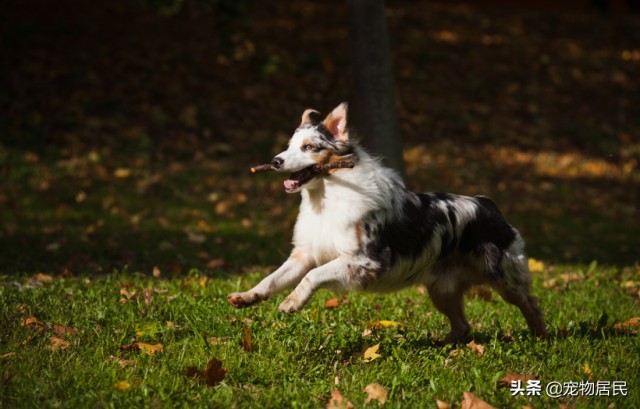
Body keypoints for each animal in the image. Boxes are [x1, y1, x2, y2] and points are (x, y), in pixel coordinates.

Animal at [228, 102, 548, 342]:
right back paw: (442, 345)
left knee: (530, 303)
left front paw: (292, 302)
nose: (276, 161)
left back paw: (540, 337)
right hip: (441, 289)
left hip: (503, 276)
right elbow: (272, 278)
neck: (327, 197)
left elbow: (314, 276)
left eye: (308, 147)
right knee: (462, 326)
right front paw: (248, 296)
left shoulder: (366, 260)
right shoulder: (305, 254)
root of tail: (488, 204)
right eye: (288, 146)